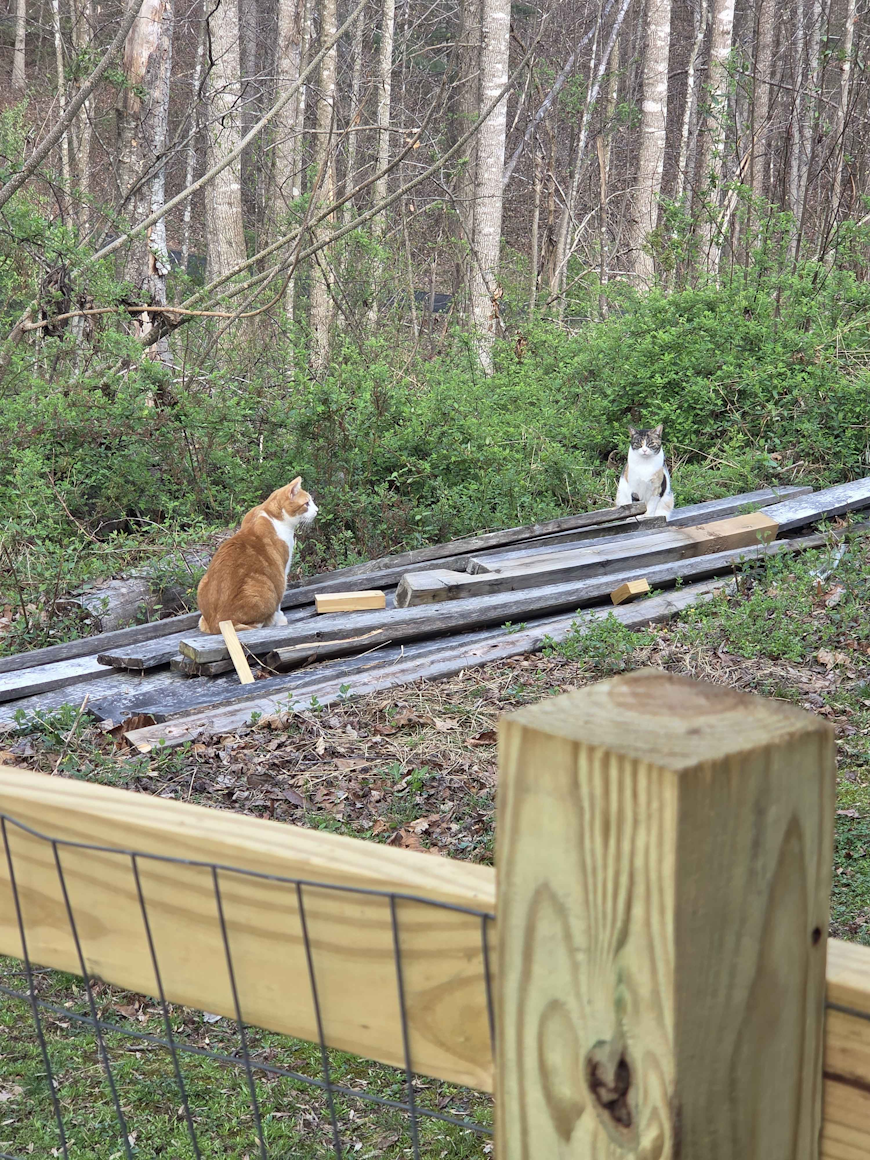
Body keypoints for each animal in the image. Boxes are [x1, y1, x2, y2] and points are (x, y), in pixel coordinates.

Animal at [197, 478, 318, 634]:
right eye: (307, 503)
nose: (317, 510)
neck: (271, 515)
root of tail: (217, 624)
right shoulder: (281, 572)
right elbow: (280, 598)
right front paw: (279, 617)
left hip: (202, 582)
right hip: (262, 587)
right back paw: (274, 620)